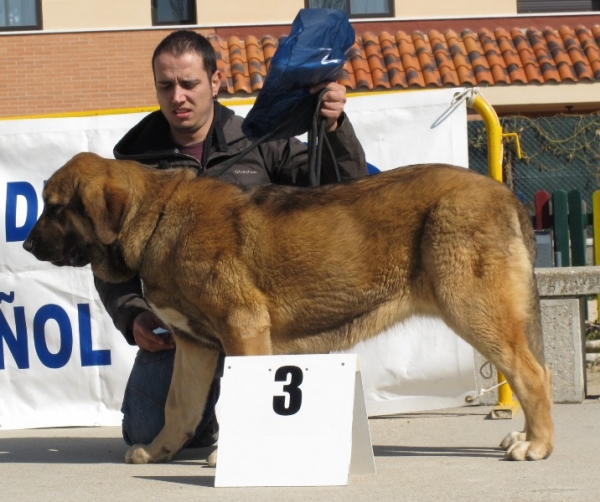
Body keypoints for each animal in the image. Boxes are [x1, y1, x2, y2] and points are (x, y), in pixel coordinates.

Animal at [25, 152, 556, 462]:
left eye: (55, 207)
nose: (27, 244)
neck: (157, 219)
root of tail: (504, 192)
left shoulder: (242, 330)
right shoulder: (194, 346)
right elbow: (180, 406)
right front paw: (159, 452)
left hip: (472, 307)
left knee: (531, 374)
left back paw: (537, 444)